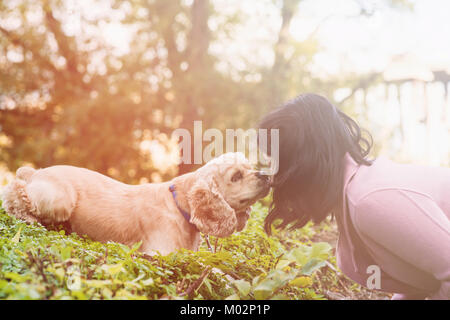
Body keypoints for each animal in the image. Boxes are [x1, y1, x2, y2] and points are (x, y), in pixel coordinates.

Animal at [0, 152, 270, 255]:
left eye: (249, 167)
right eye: (236, 176)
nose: (266, 176)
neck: (180, 205)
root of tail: (36, 172)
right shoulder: (160, 254)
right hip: (60, 199)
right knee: (14, 191)